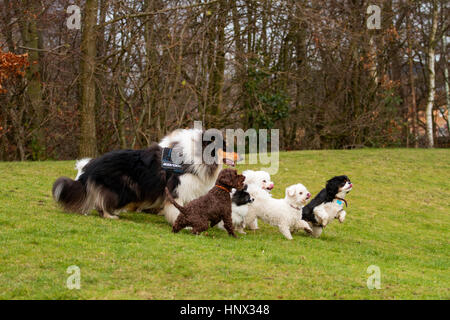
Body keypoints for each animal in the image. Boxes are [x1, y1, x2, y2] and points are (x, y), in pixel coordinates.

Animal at [52, 127, 239, 222]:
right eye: (224, 147)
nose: (240, 155)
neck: (197, 155)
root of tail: (91, 165)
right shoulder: (177, 189)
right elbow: (177, 208)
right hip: (122, 189)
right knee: (102, 201)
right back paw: (109, 215)